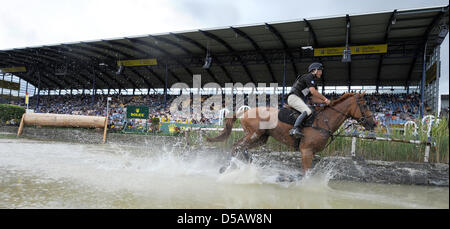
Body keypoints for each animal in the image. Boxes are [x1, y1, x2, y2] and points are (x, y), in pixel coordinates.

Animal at [207, 91, 376, 174]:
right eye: (364, 105)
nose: (373, 124)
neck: (324, 120)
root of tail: (245, 111)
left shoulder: (311, 152)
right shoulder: (306, 151)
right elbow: (305, 173)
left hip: (261, 138)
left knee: (242, 148)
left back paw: (246, 163)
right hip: (253, 134)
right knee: (236, 146)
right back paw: (227, 167)